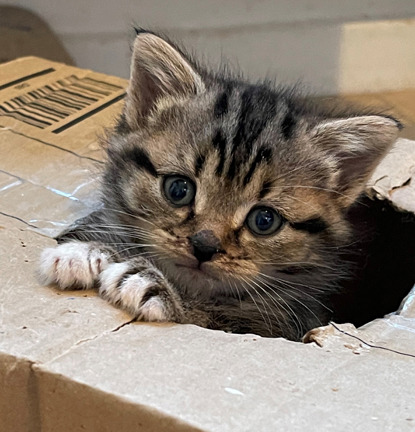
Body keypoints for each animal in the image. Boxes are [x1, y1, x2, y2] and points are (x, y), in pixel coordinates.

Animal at [39, 30, 404, 340]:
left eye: (264, 220)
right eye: (178, 189)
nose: (204, 246)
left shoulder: (279, 323)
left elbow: (209, 318)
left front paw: (151, 283)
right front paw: (86, 249)